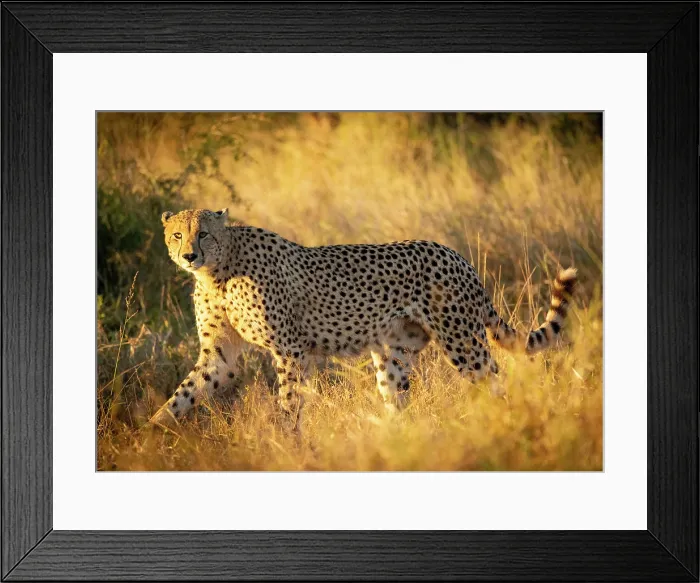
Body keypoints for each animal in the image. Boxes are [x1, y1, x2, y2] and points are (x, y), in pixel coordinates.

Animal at [149, 208, 577, 431]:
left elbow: (290, 401)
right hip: (394, 354)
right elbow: (183, 394)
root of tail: (455, 254)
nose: (189, 255)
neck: (217, 271)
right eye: (176, 235)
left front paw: (289, 441)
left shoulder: (290, 349)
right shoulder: (219, 355)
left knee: (495, 381)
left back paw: (508, 424)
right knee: (397, 400)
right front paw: (149, 434)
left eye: (203, 233)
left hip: (463, 343)